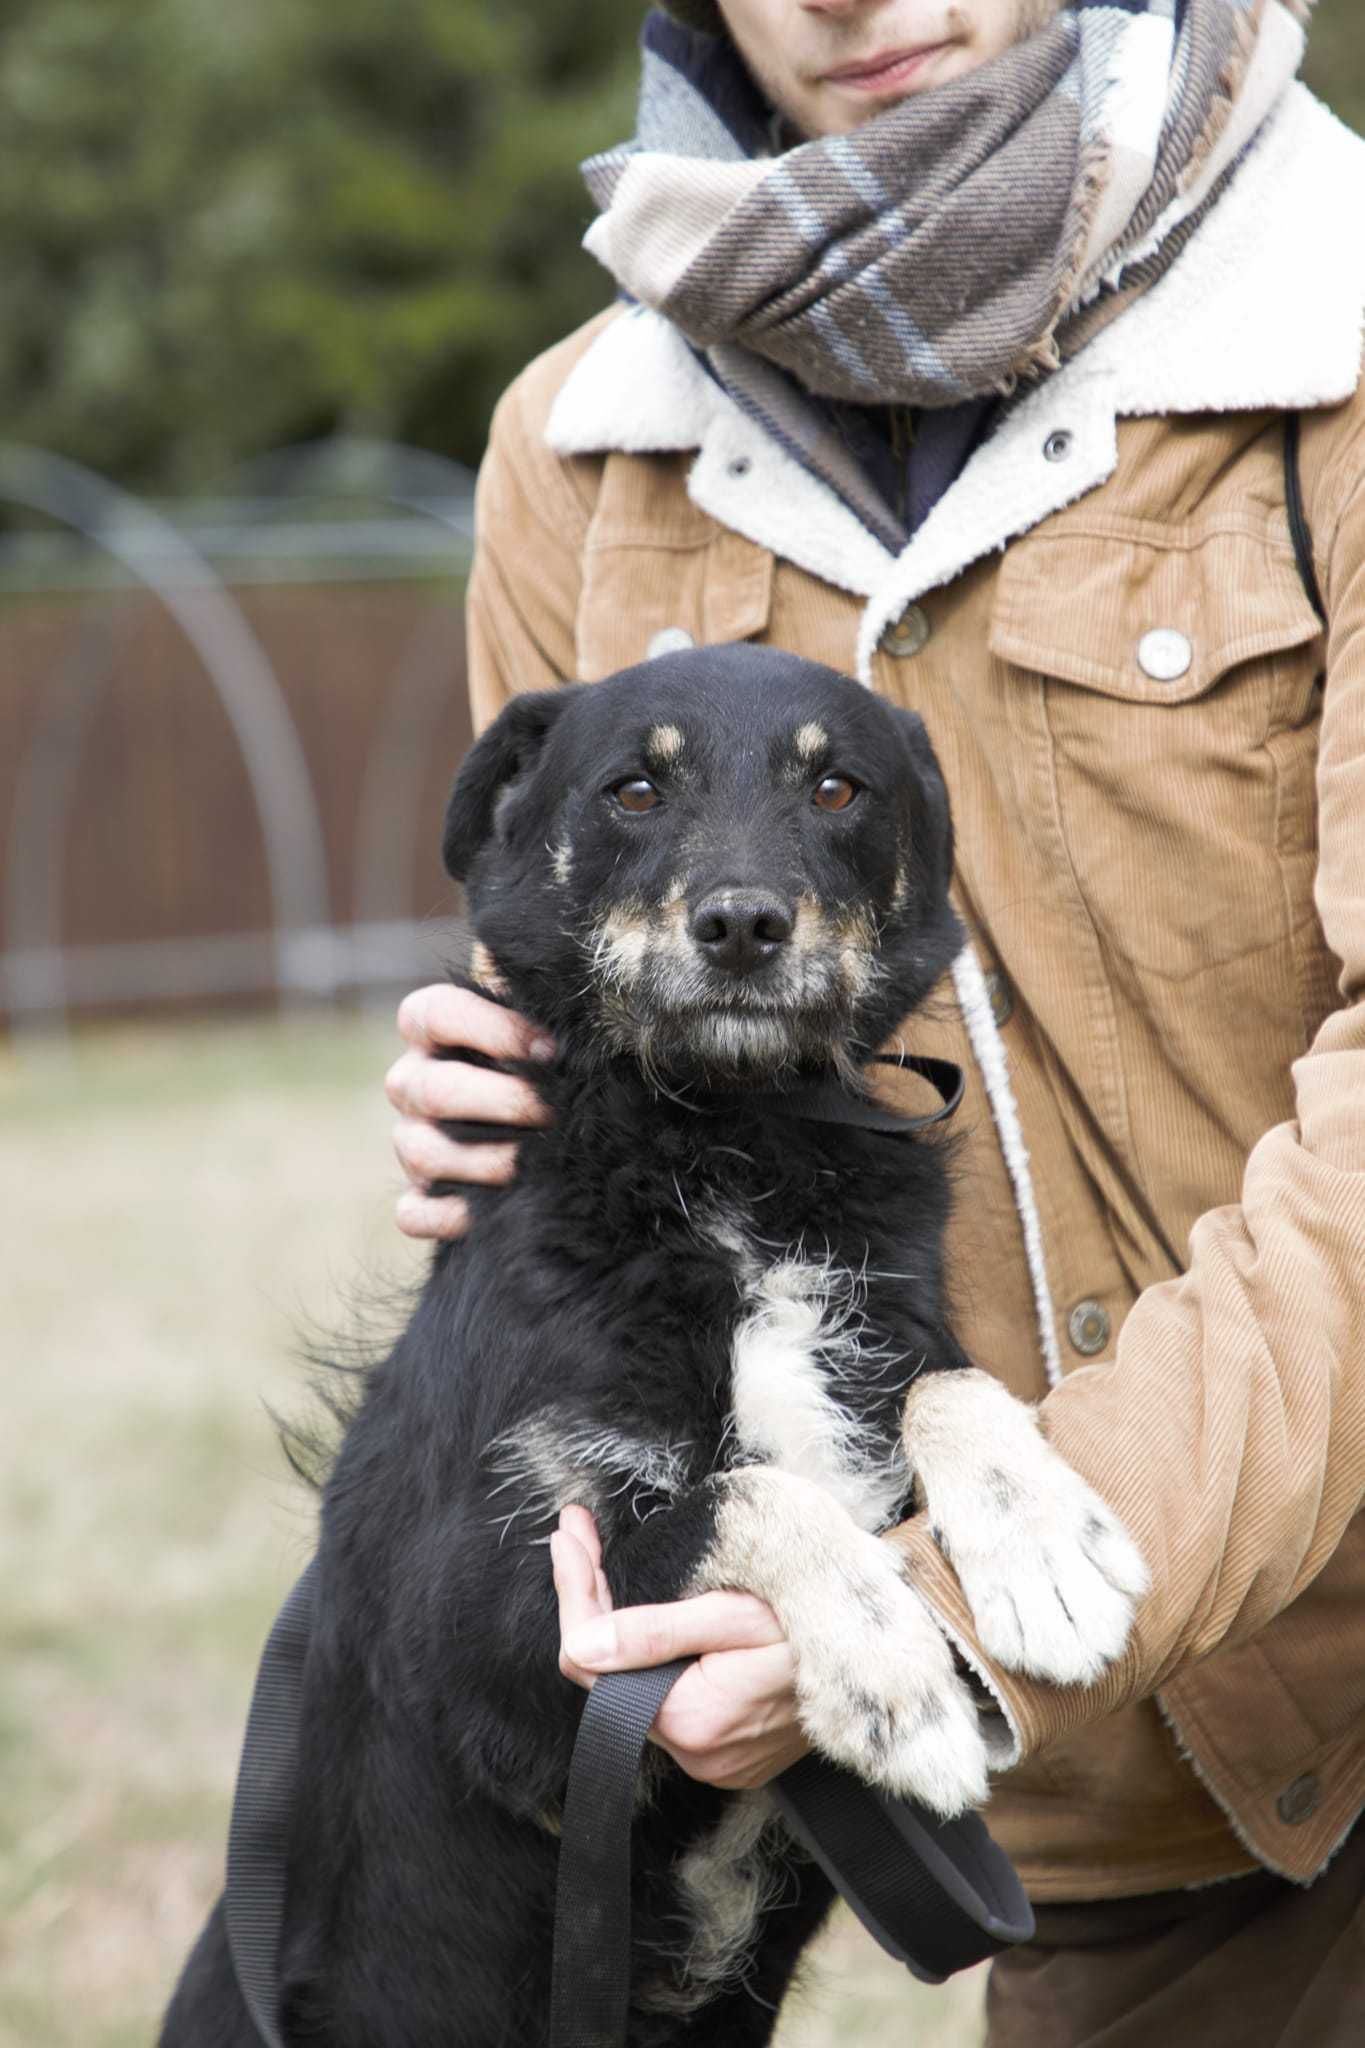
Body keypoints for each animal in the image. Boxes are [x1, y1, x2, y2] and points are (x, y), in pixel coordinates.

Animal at [157, 643, 1146, 2048]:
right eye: (634, 788)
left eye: (837, 786)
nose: (741, 925)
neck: (727, 1146)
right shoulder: (489, 1637)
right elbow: (745, 1492)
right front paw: (892, 1667)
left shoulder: (890, 1323)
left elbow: (949, 1377)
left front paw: (1044, 1539)